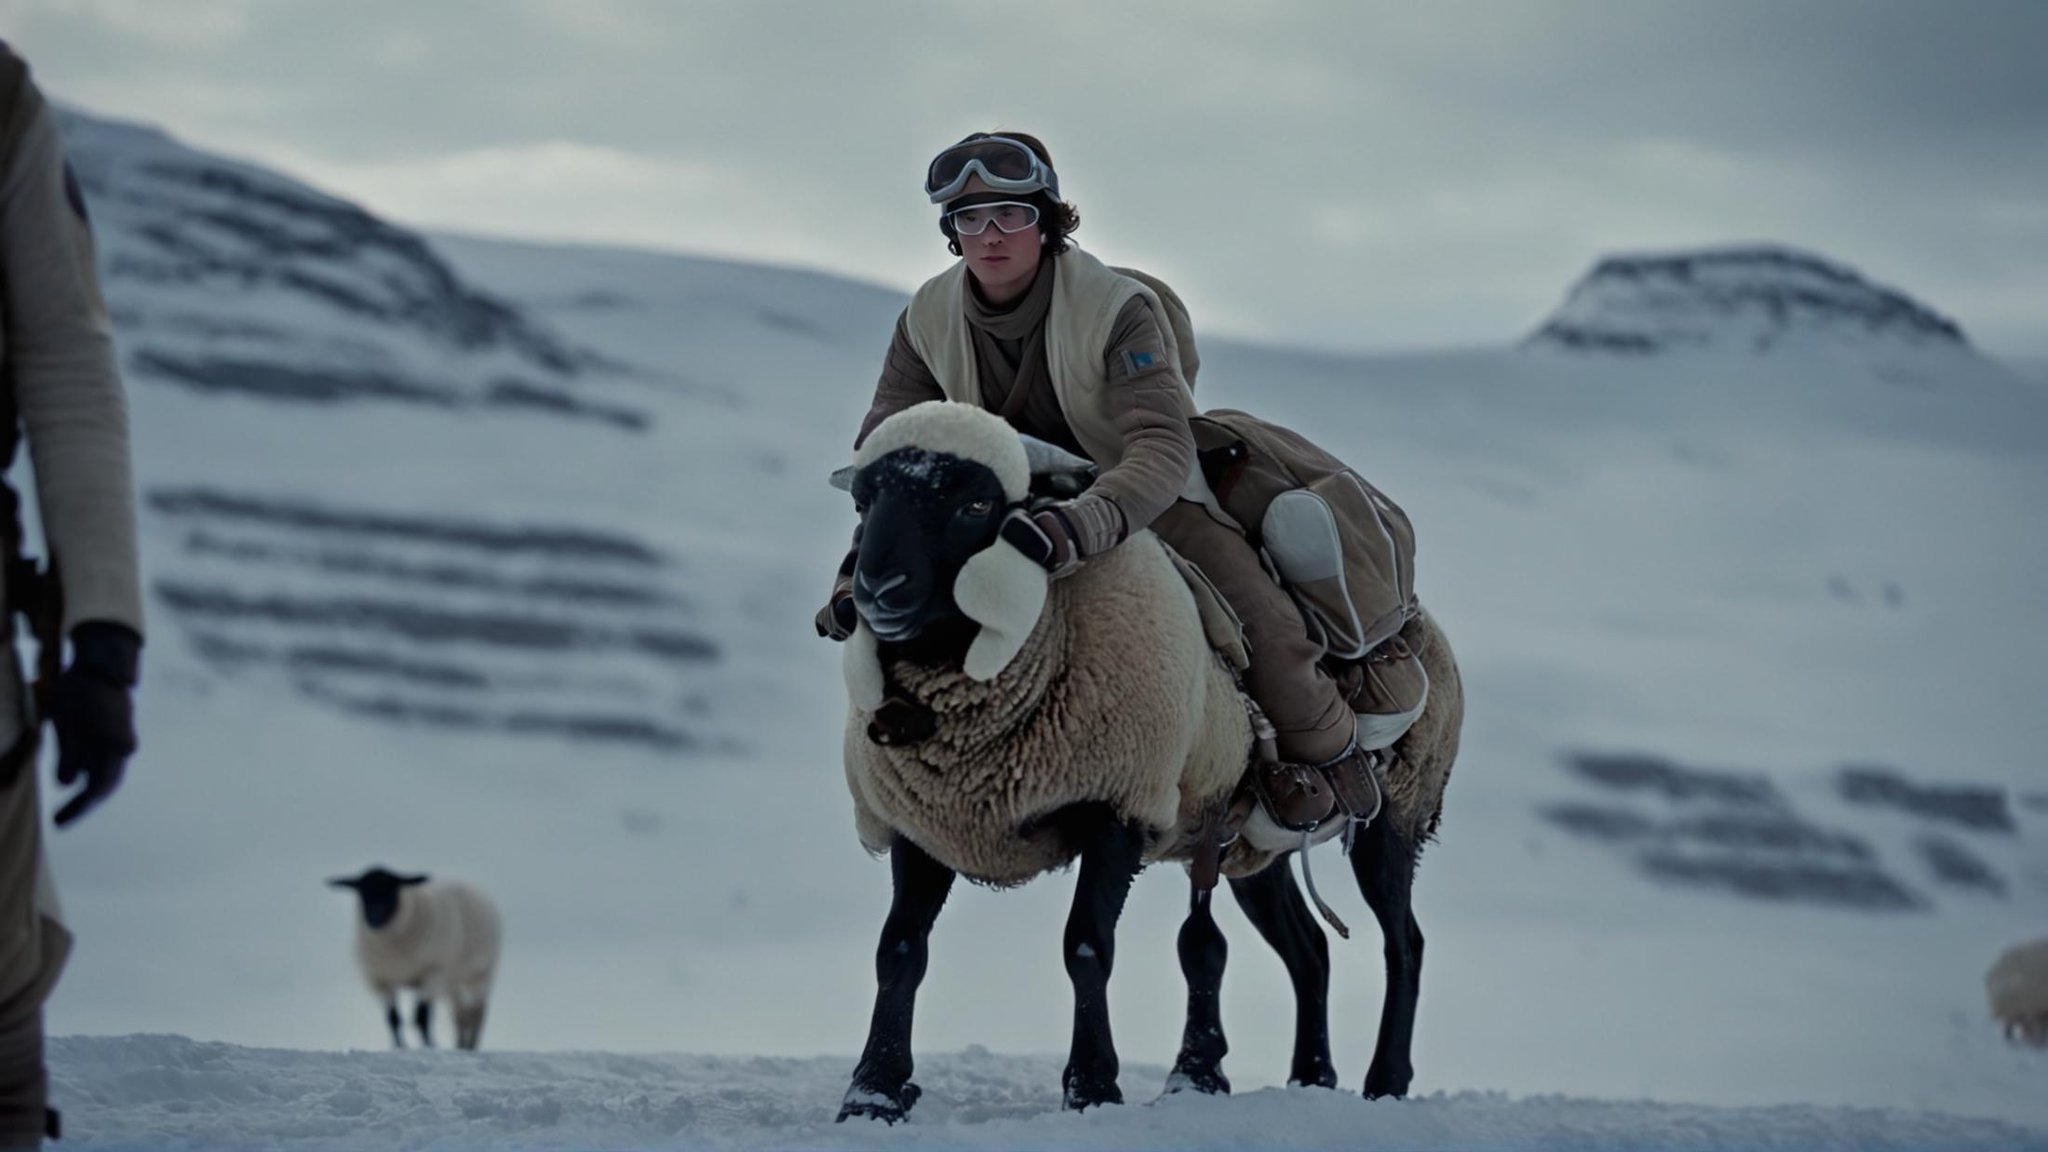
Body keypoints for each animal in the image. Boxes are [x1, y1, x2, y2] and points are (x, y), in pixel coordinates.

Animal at [328, 867, 501, 1051]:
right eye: (362, 891)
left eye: (393, 888)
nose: (375, 917)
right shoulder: (380, 980)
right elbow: (393, 1018)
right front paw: (400, 1047)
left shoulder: (432, 973)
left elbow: (420, 1018)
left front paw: (429, 1046)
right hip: (452, 983)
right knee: (459, 1013)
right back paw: (460, 1044)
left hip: (480, 974)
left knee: (477, 1012)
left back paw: (469, 1045)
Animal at [833, 400, 1463, 1121]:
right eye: (864, 500)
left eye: (975, 503)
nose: (876, 589)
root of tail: (1418, 616)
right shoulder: (919, 820)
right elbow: (900, 949)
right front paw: (873, 1092)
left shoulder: (1120, 807)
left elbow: (1086, 946)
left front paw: (1093, 1088)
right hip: (1257, 848)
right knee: (1312, 950)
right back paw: (1310, 1076)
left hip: (1399, 812)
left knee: (1402, 943)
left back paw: (1385, 1081)